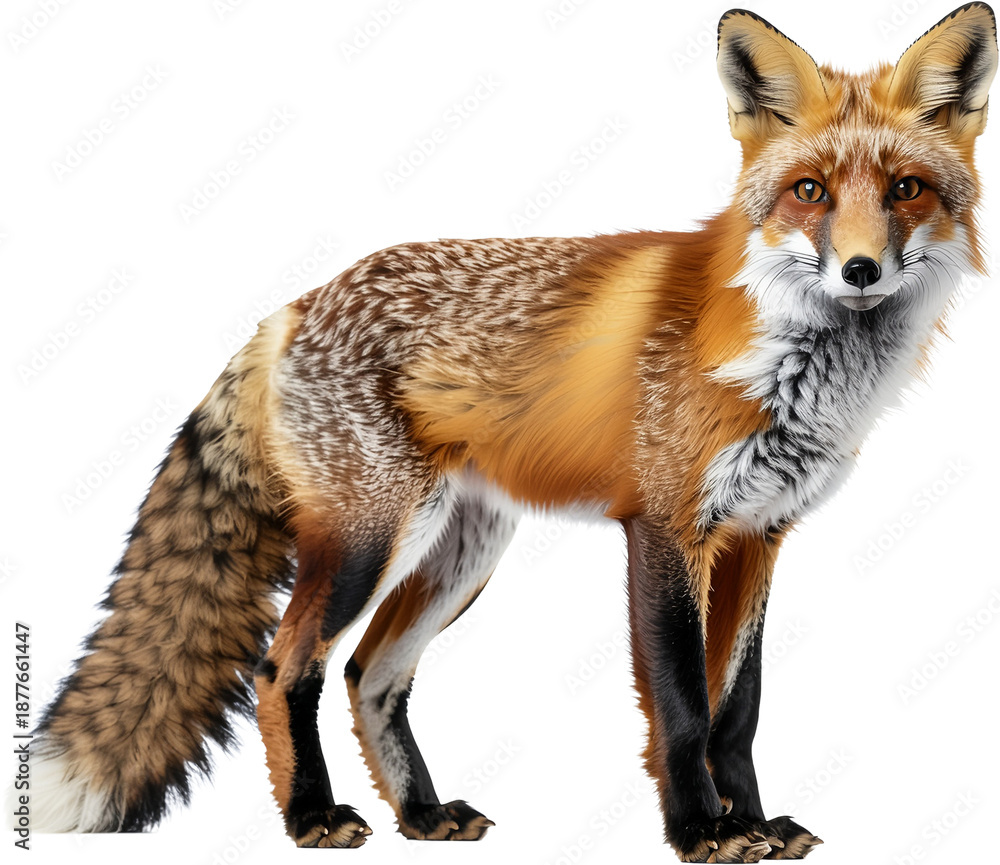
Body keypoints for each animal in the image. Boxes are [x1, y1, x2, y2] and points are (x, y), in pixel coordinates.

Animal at [19, 4, 997, 863]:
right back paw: (311, 816)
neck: (782, 364)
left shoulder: (759, 535)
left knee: (369, 674)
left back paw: (421, 814)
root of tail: (295, 306)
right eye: (810, 191)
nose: (861, 269)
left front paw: (753, 822)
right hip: (372, 537)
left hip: (463, 553)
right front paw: (702, 832)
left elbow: (739, 708)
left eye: (906, 189)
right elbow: (683, 708)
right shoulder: (666, 528)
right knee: (284, 667)